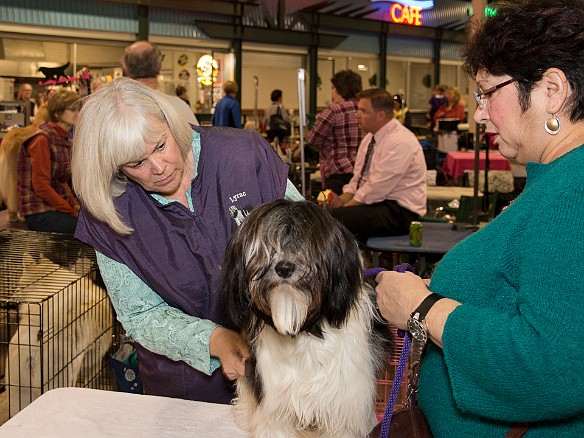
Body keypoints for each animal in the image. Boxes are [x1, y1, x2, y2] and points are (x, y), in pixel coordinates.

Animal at [221, 200, 390, 436]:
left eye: (306, 245)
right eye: (268, 247)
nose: (283, 268)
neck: (305, 329)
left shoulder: (345, 403)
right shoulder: (276, 400)